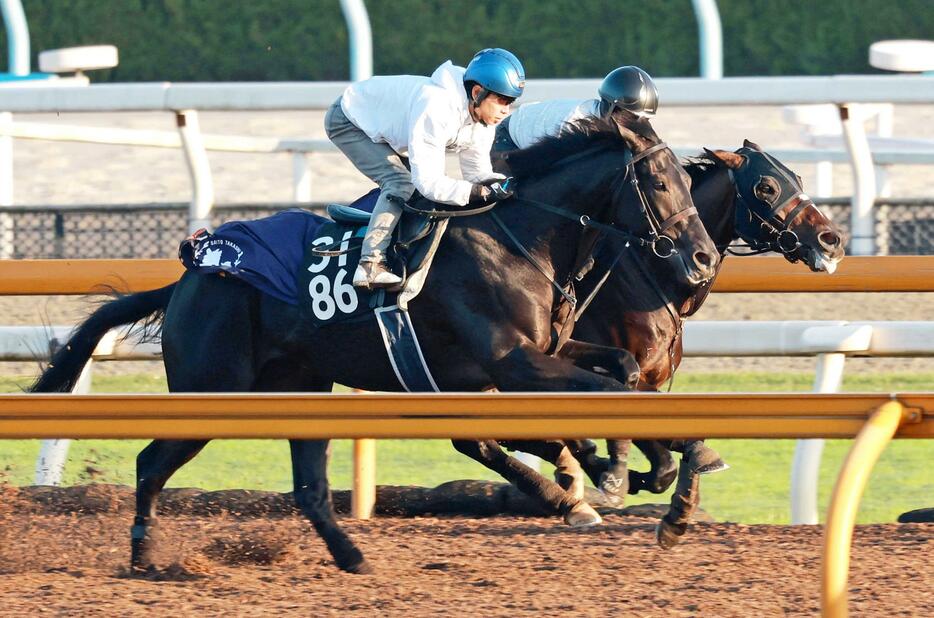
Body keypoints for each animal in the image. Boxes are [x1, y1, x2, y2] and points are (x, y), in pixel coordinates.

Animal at [27, 116, 716, 572]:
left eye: (687, 181)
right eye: (658, 183)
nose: (703, 257)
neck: (519, 237)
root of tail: (190, 275)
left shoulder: (539, 355)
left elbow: (623, 372)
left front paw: (648, 472)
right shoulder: (513, 361)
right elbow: (612, 392)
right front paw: (657, 473)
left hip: (300, 387)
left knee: (309, 485)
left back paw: (353, 554)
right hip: (212, 388)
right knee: (151, 462)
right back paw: (145, 553)